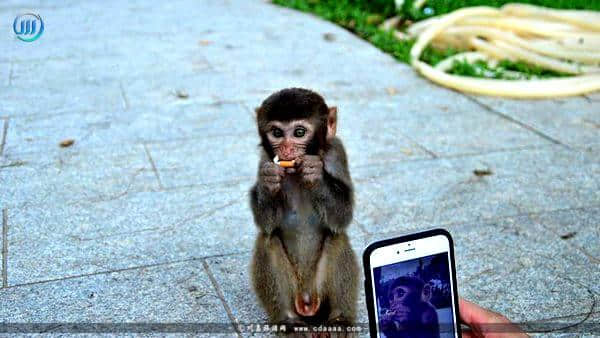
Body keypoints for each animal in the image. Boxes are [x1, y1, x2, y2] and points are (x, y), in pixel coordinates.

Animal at [250, 88, 358, 332]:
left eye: (299, 132)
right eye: (277, 132)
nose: (286, 148)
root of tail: (307, 301)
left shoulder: (337, 151)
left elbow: (342, 216)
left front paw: (314, 174)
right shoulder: (265, 159)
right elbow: (266, 224)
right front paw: (268, 182)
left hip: (320, 292)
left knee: (337, 236)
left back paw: (339, 322)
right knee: (268, 240)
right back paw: (288, 322)